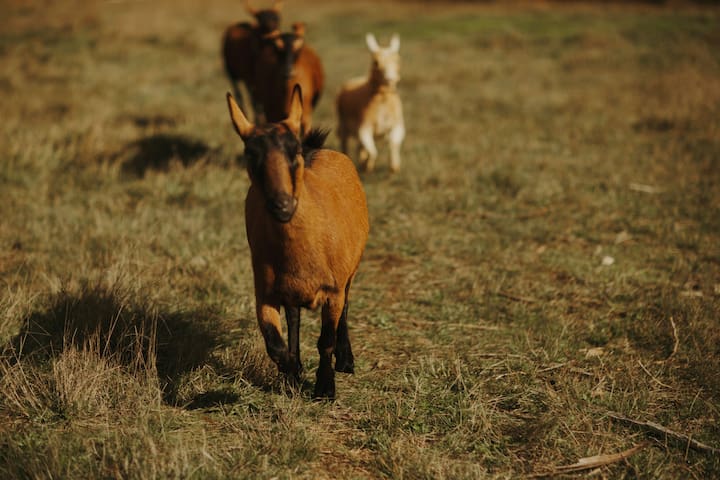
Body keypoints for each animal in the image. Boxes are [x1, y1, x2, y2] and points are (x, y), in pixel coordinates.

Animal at [226, 85, 372, 398]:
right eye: (250, 154)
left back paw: (346, 360)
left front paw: (325, 388)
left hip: (350, 271)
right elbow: (274, 344)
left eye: (293, 152)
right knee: (294, 318)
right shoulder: (265, 292)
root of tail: (317, 147)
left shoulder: (333, 289)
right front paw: (292, 374)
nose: (281, 205)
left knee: (345, 310)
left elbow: (325, 340)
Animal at [338, 33, 404, 172]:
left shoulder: (398, 125)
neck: (383, 99)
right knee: (345, 144)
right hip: (343, 125)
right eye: (376, 62)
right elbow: (373, 152)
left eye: (397, 60)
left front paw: (394, 166)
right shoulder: (364, 128)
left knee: (360, 147)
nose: (391, 79)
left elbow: (393, 144)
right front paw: (367, 166)